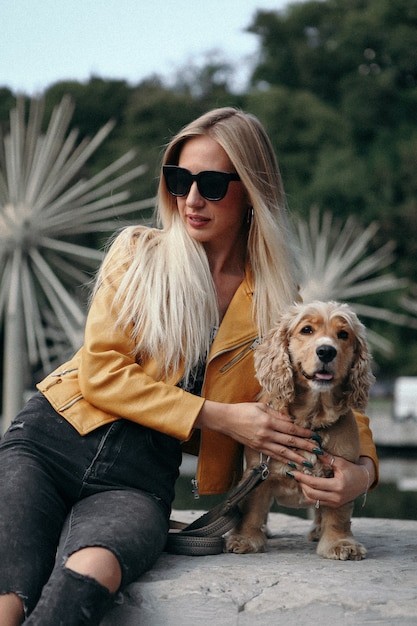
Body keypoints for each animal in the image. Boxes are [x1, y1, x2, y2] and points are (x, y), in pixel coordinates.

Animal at [224, 300, 374, 560]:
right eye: (306, 330)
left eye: (343, 335)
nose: (326, 351)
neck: (311, 419)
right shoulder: (258, 471)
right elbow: (252, 509)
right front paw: (245, 540)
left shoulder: (341, 477)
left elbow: (338, 514)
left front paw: (340, 543)